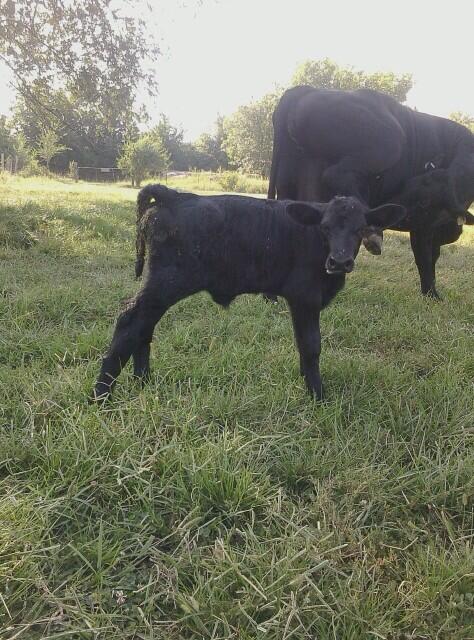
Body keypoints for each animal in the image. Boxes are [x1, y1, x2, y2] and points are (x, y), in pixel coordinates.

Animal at [93, 185, 405, 402]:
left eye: (360, 229)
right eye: (325, 227)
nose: (339, 261)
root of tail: (176, 196)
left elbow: (302, 345)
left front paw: (306, 382)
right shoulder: (304, 297)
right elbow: (311, 346)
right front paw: (317, 396)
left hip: (160, 287)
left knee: (144, 327)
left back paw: (143, 382)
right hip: (167, 283)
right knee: (130, 321)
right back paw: (102, 395)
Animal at [268, 86, 474, 299]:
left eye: (422, 197)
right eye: (413, 186)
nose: (397, 208)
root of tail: (306, 89)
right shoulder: (425, 225)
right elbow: (425, 258)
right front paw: (432, 295)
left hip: (290, 177)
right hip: (391, 142)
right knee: (336, 174)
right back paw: (371, 229)